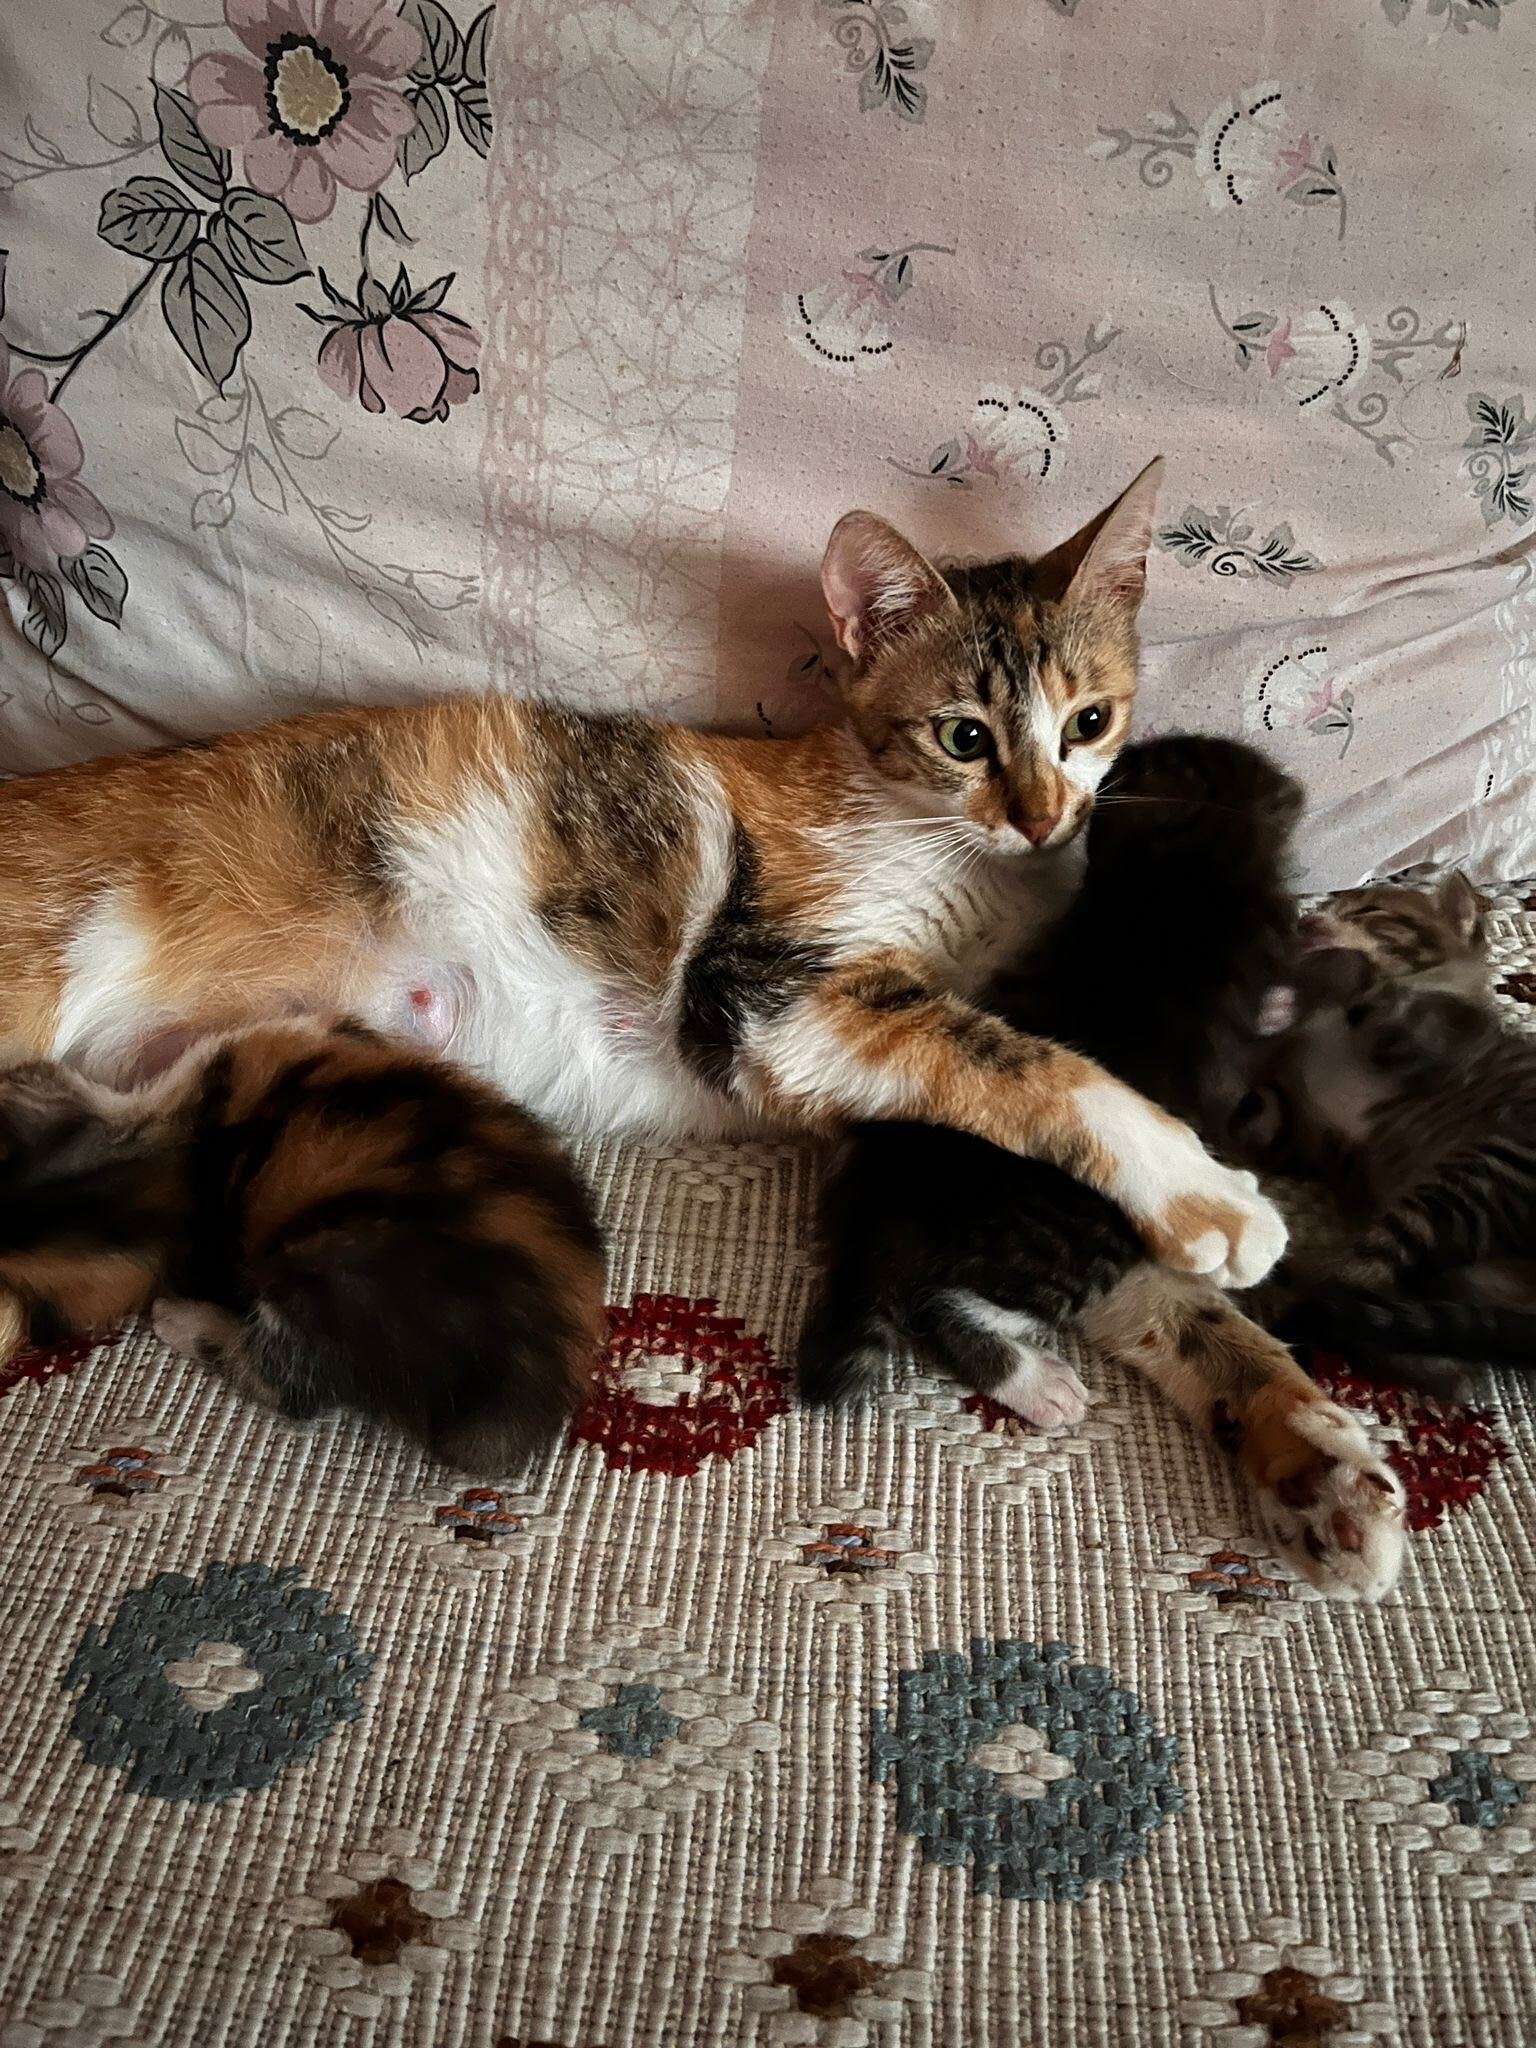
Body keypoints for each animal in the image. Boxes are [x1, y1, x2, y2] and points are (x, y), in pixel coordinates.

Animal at [0, 462, 1283, 1304]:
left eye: (1089, 721)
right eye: (965, 736)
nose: (1041, 813)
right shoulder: (770, 994)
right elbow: (1026, 1062)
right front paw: (1206, 1194)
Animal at [801, 736, 1408, 1599]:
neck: (1167, 885)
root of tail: (880, 1217)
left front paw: (1317, 1470)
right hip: (1072, 1240)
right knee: (941, 1305)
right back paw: (1037, 1381)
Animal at [1232, 875, 1536, 1391]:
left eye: (1369, 911)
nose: (1308, 921)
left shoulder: (1434, 1032)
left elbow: (1387, 998)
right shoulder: (1302, 1134)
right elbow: (1260, 1115)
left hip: (1484, 1167)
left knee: (1358, 1281)